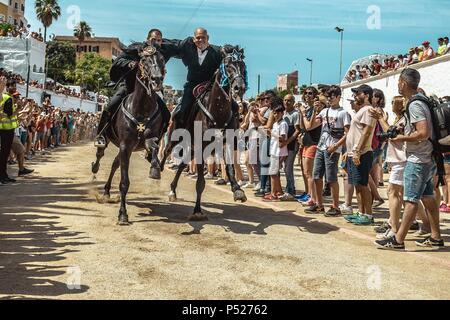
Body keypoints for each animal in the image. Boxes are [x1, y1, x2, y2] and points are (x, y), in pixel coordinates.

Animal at [91, 45, 167, 225]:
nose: (156, 80)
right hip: (111, 141)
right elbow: (124, 182)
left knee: (114, 164)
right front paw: (123, 215)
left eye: (162, 59)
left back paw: (106, 191)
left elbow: (154, 147)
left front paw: (155, 168)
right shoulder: (125, 145)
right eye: (144, 60)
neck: (141, 109)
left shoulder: (145, 140)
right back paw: (96, 168)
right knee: (101, 154)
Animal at [160, 44, 248, 220]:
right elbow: (200, 182)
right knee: (167, 151)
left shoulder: (227, 144)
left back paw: (173, 189)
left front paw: (237, 190)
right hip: (177, 138)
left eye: (242, 65)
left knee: (182, 164)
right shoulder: (201, 148)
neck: (217, 110)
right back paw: (157, 169)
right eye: (227, 64)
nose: (239, 87)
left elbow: (230, 168)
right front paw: (197, 211)